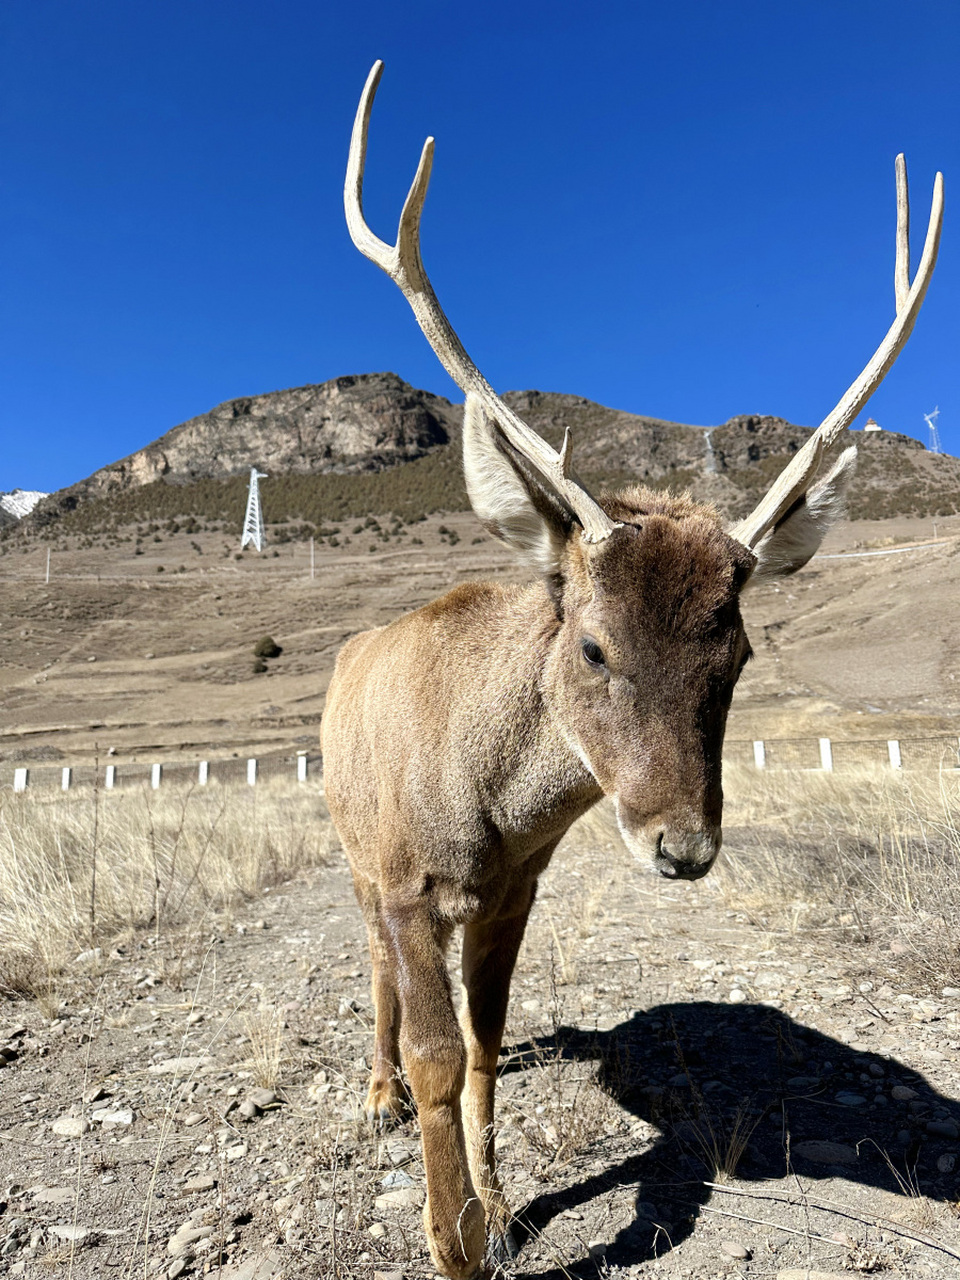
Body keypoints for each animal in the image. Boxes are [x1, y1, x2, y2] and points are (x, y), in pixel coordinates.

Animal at [325, 62, 947, 1280]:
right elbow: (434, 1053)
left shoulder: (515, 886)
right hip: (352, 849)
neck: (487, 813)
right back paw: (370, 1097)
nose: (683, 844)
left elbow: (486, 1039)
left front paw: (502, 1200)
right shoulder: (411, 877)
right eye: (593, 643)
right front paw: (453, 1237)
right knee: (369, 966)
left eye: (740, 647)